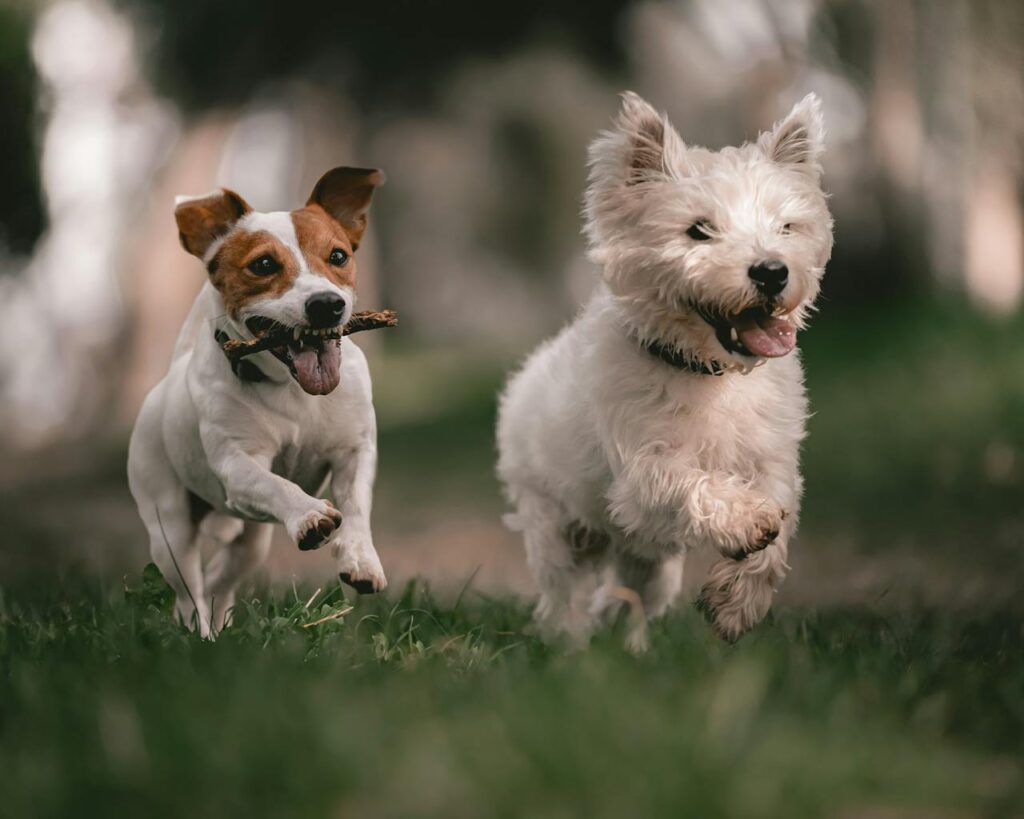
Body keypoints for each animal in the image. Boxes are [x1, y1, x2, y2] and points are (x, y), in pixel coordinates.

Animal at [124, 167, 387, 638]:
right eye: (264, 264)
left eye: (338, 256)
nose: (327, 304)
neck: (292, 388)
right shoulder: (237, 464)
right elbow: (275, 484)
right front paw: (309, 515)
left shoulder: (355, 450)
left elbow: (356, 503)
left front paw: (360, 558)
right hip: (168, 525)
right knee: (190, 591)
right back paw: (201, 636)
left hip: (251, 541)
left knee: (219, 579)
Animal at [495, 92, 831, 651]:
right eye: (699, 230)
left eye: (786, 226)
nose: (772, 272)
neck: (710, 373)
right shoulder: (638, 475)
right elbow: (686, 481)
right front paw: (746, 520)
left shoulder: (773, 460)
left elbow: (778, 521)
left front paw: (736, 605)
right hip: (554, 519)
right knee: (565, 593)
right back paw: (569, 646)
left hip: (644, 560)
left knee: (628, 599)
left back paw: (629, 650)